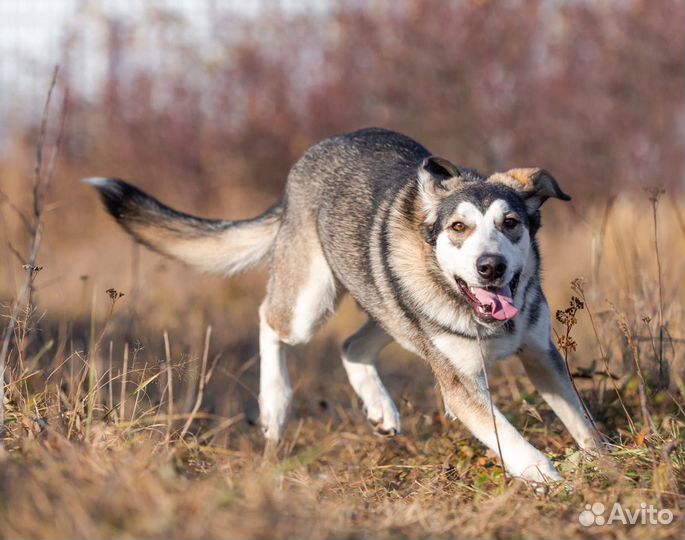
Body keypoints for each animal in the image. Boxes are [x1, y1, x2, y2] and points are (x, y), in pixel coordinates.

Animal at [87, 127, 604, 480]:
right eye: (459, 228)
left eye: (511, 223)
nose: (490, 267)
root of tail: (306, 164)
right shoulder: (462, 386)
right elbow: (512, 439)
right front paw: (549, 479)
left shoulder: (541, 355)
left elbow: (580, 419)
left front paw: (605, 464)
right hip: (312, 301)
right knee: (270, 321)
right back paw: (275, 404)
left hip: (390, 303)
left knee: (353, 346)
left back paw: (380, 407)